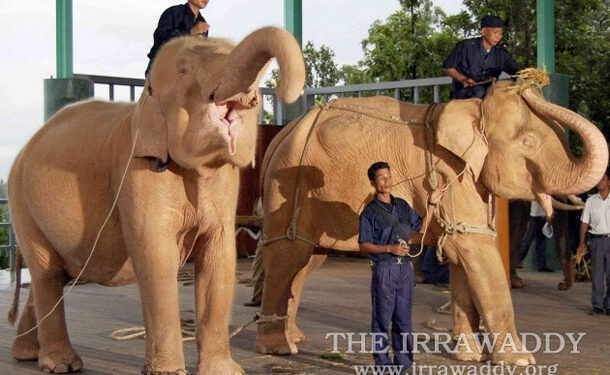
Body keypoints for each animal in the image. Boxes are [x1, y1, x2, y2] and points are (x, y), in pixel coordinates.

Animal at [7, 27, 304, 375]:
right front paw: (168, 372)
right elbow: (155, 255)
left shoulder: (223, 182)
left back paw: (27, 354)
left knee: (51, 275)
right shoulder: (138, 170)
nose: (281, 90)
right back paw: (62, 365)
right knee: (47, 273)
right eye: (184, 70)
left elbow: (219, 256)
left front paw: (224, 372)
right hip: (21, 203)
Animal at [254, 78, 604, 368]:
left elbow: (463, 252)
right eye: (528, 142)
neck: (471, 110)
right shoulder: (450, 174)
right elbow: (475, 250)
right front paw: (521, 360)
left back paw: (294, 337)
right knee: (287, 257)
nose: (525, 82)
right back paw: (279, 348)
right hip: (289, 188)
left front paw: (468, 356)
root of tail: (283, 134)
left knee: (307, 260)